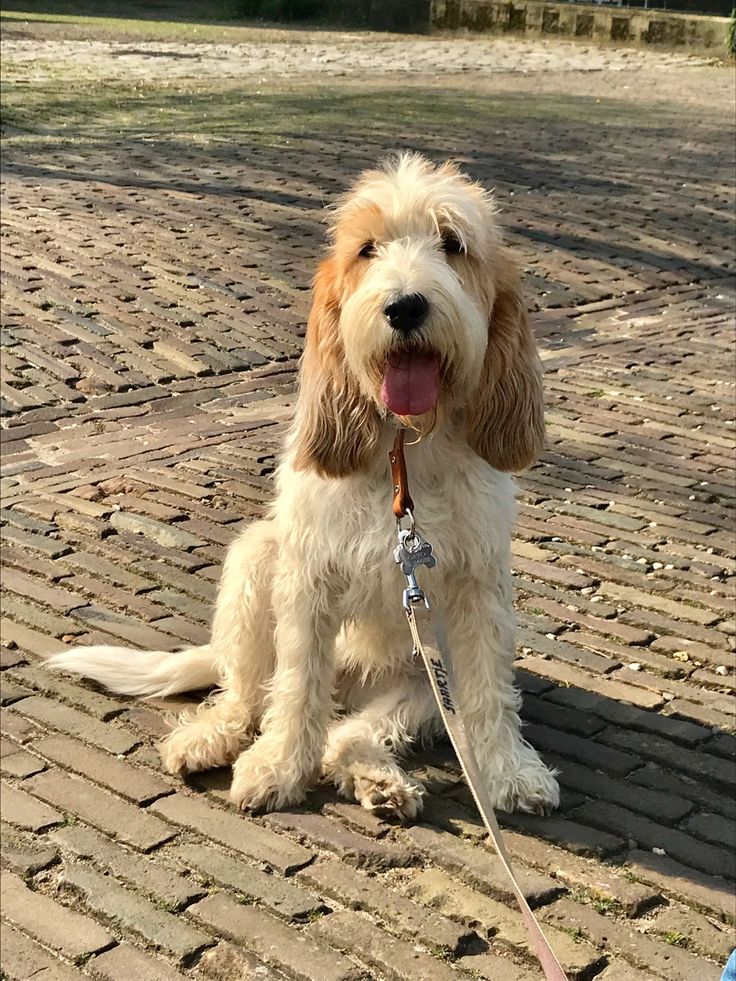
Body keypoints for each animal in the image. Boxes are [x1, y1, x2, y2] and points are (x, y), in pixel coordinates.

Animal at [49, 149, 556, 816]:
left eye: (453, 244)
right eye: (367, 249)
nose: (405, 307)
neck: (403, 452)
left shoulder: (479, 586)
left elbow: (489, 692)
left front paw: (510, 773)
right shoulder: (308, 579)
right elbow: (294, 688)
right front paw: (279, 768)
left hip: (419, 689)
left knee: (348, 734)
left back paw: (378, 781)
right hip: (254, 563)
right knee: (248, 696)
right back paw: (211, 739)